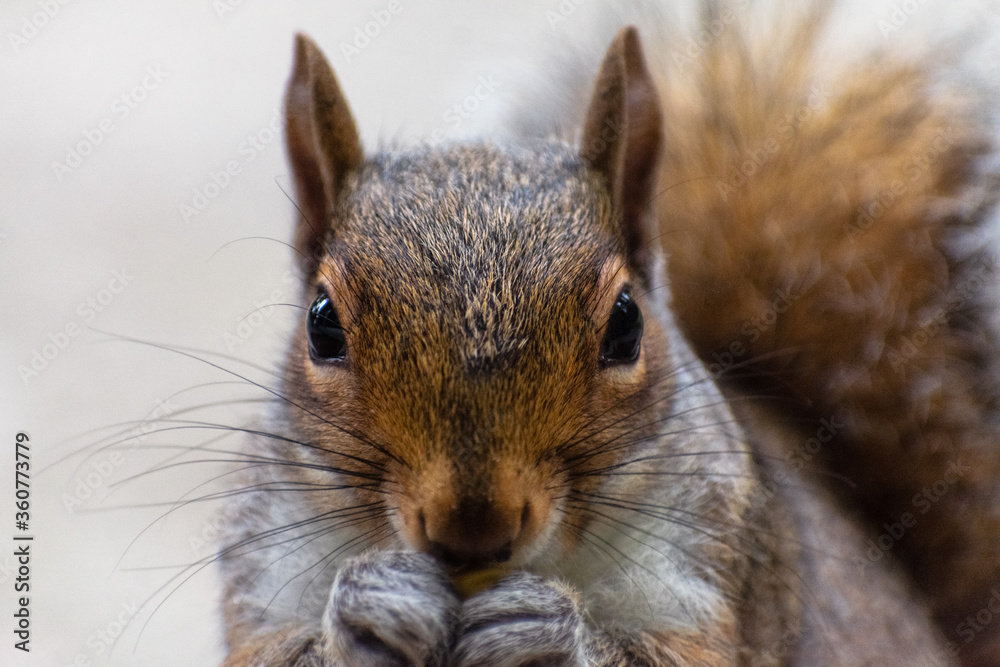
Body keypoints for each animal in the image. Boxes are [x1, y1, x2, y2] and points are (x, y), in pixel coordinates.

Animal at [217, 3, 1000, 666]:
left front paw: (551, 631)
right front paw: (364, 611)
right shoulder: (262, 561)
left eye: (626, 324)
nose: (473, 528)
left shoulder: (720, 563)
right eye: (322, 325)